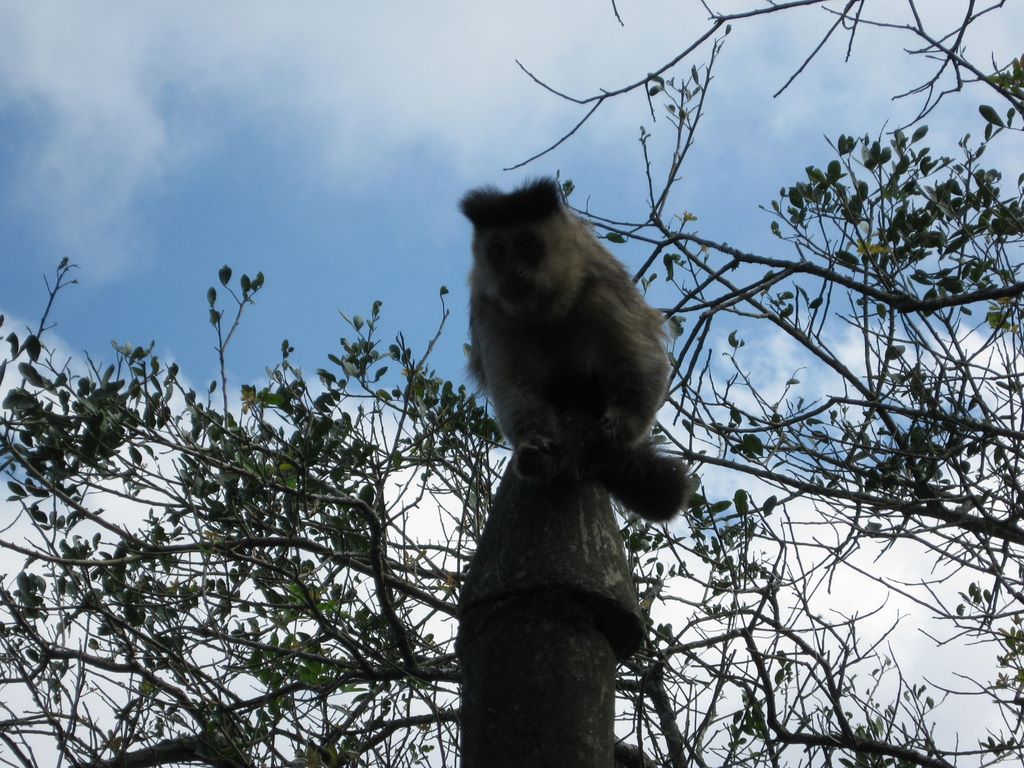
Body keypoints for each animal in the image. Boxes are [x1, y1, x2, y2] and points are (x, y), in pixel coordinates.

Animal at [460, 177, 692, 522]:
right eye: (498, 251)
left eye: (527, 246)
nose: (512, 272)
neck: (547, 308)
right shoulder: (489, 309)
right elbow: (515, 386)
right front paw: (536, 444)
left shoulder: (599, 282)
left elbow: (642, 356)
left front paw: (618, 427)